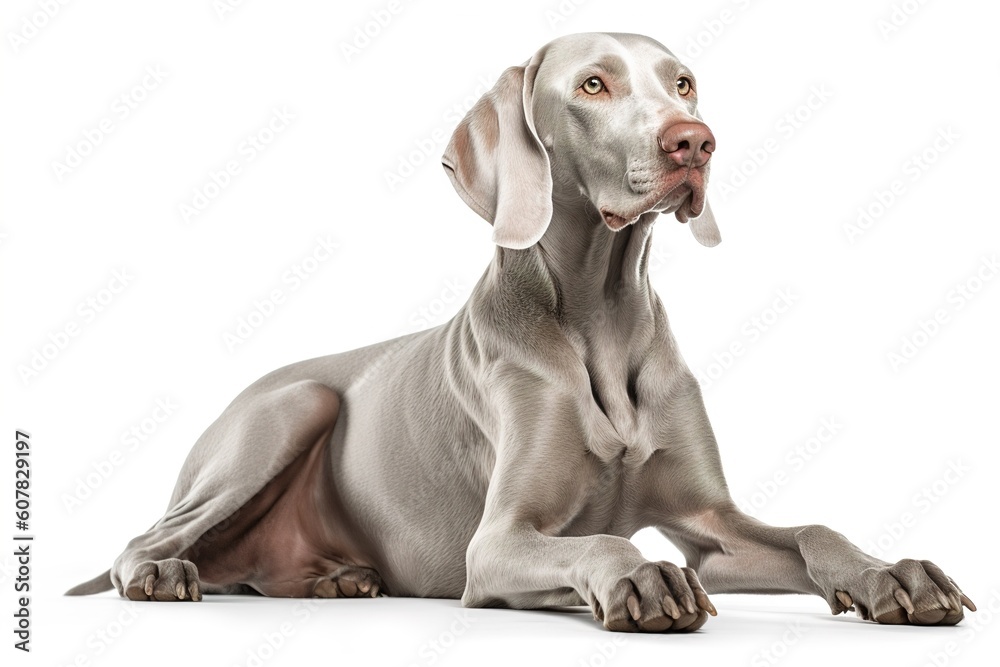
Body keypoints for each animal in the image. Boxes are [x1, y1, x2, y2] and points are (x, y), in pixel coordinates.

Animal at [66, 31, 972, 636]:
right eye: (594, 84)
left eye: (683, 83)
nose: (695, 143)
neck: (603, 314)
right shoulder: (496, 544)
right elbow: (597, 539)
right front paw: (643, 575)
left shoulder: (711, 522)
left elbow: (810, 529)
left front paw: (893, 573)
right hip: (293, 407)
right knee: (146, 536)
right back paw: (162, 571)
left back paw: (338, 579)